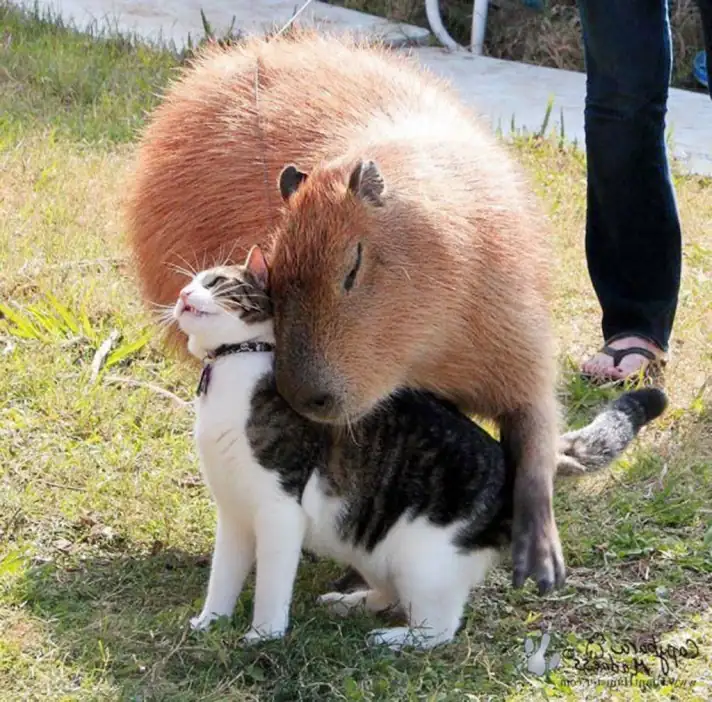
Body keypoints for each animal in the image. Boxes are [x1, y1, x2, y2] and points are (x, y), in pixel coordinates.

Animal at [171, 248, 668, 656]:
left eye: (214, 281)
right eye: (192, 282)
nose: (182, 293)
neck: (234, 366)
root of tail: (514, 464)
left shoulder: (278, 512)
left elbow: (271, 587)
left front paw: (263, 635)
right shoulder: (234, 512)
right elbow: (223, 576)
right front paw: (210, 622)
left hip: (422, 561)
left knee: (439, 628)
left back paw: (393, 639)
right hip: (369, 545)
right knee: (389, 592)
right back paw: (351, 603)